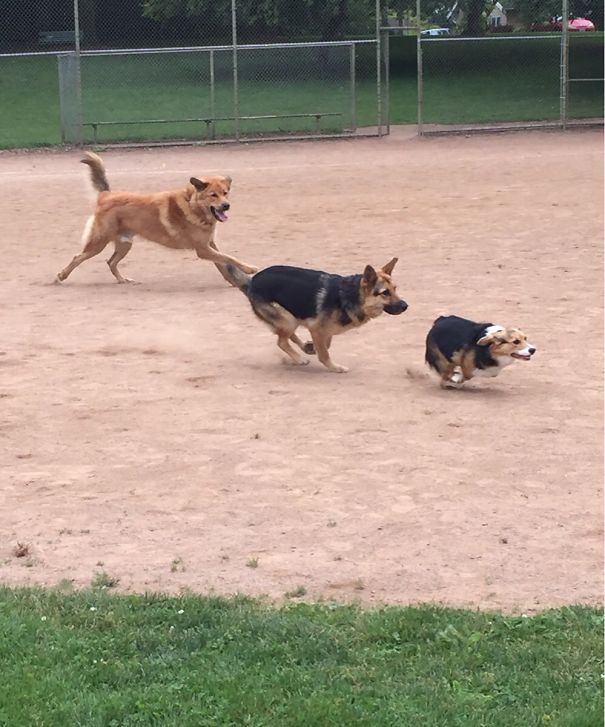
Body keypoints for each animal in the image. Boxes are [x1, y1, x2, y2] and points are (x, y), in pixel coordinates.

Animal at [53, 154, 258, 284]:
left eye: (225, 193)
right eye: (213, 195)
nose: (226, 206)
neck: (193, 206)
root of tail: (106, 195)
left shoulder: (209, 246)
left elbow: (224, 263)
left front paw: (235, 280)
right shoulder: (203, 250)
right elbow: (230, 258)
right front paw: (249, 269)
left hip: (125, 244)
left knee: (111, 262)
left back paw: (122, 280)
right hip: (99, 243)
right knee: (78, 257)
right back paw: (60, 277)